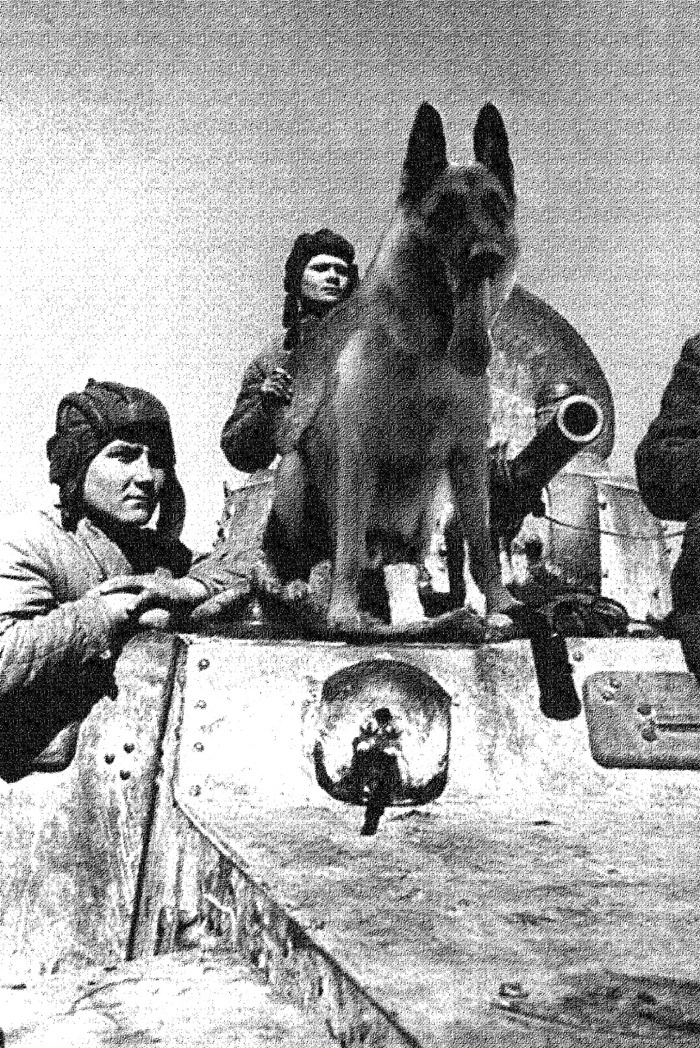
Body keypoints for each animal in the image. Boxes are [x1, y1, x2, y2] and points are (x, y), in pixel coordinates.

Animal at [265, 101, 521, 634]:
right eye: (446, 212)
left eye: (495, 207)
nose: (486, 258)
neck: (431, 351)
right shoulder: (357, 454)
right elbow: (346, 545)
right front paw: (343, 613)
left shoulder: (468, 460)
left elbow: (482, 545)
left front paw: (499, 605)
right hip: (294, 474)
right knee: (324, 553)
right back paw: (301, 585)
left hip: (430, 508)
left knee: (409, 557)